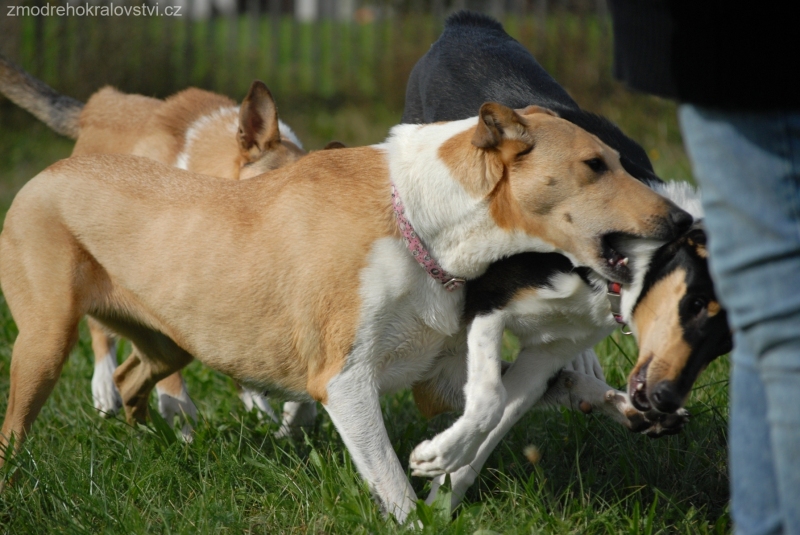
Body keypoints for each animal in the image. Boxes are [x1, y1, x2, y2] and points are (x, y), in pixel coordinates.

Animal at [0, 104, 688, 524]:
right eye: (594, 164)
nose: (681, 220)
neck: (417, 221)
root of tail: (50, 169)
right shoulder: (345, 380)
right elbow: (393, 484)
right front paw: (419, 498)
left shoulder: (435, 378)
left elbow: (528, 390)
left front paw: (628, 407)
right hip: (45, 339)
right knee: (18, 423)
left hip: (169, 341)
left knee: (130, 378)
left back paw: (152, 444)